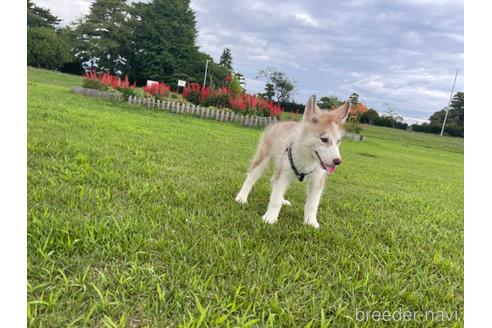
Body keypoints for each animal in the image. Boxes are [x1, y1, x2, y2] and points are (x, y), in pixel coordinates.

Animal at [235, 95, 348, 228]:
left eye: (338, 141)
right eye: (324, 139)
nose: (337, 161)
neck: (307, 158)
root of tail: (280, 123)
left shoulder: (317, 181)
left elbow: (312, 204)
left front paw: (311, 222)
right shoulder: (283, 174)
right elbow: (275, 200)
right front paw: (270, 218)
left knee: (273, 180)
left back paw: (283, 200)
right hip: (264, 157)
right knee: (252, 176)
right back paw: (242, 197)